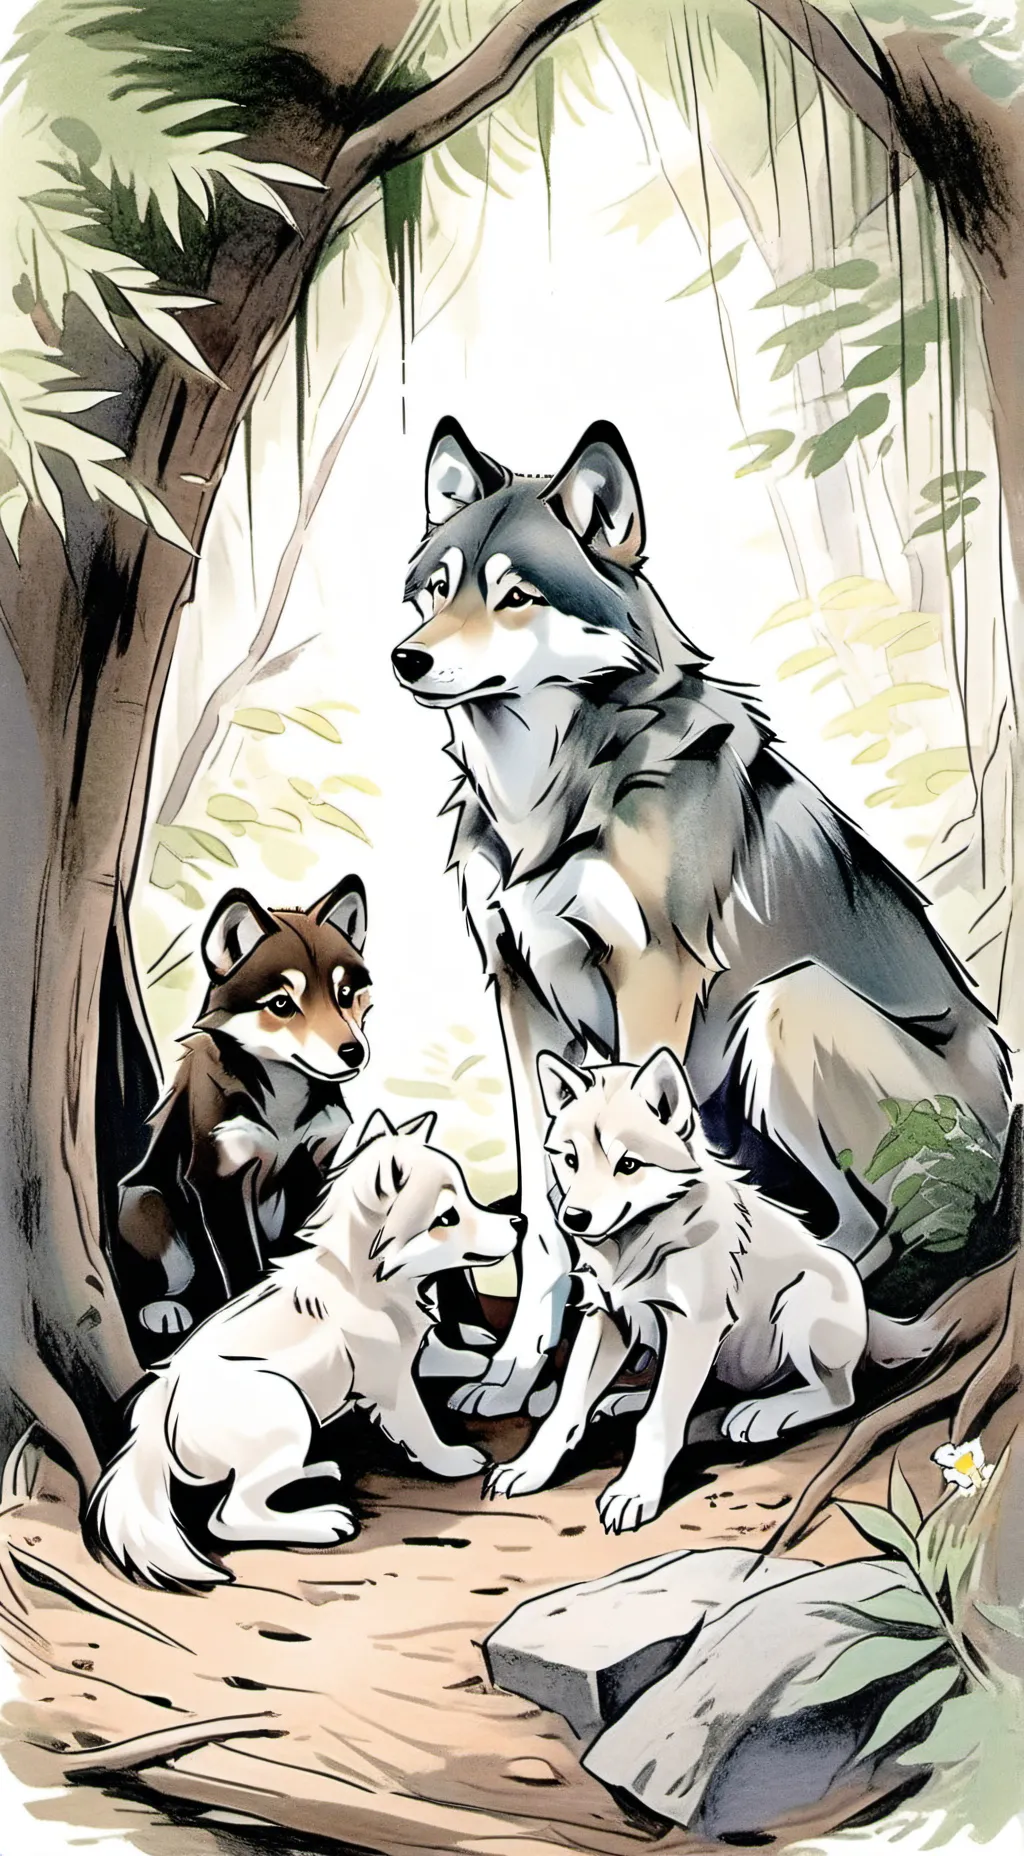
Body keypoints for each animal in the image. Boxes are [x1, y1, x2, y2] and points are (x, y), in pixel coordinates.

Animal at [90, 1112, 521, 1590]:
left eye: (470, 1196)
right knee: (228, 1515)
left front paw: (499, 1367)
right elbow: (422, 1429)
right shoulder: (391, 1384)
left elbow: (460, 1357)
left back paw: (316, 1470)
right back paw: (322, 1522)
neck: (370, 1282)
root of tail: (158, 1412)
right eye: (447, 1215)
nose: (519, 1221)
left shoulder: (412, 1354)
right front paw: (452, 1460)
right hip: (285, 1404)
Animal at [116, 877, 372, 1345]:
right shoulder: (218, 1179)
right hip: (146, 1201)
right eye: (282, 1004)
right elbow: (241, 1266)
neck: (283, 1101)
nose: (353, 1052)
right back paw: (165, 1308)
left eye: (344, 994)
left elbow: (295, 1243)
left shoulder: (312, 1164)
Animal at [393, 416, 1009, 1417]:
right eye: (438, 589)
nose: (406, 658)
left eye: (516, 597)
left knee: (872, 1226)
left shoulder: (655, 979)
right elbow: (545, 1213)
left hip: (787, 1005)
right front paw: (521, 1369)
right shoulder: (517, 991)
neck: (546, 795)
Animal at [486, 1049, 947, 1533]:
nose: (573, 1218)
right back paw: (627, 1400)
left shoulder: (694, 1328)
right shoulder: (606, 1318)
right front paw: (529, 1468)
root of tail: (869, 1319)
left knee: (840, 1394)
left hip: (804, 1294)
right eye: (570, 1160)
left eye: (628, 1164)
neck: (637, 1245)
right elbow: (566, 1408)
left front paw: (634, 1492)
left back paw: (764, 1413)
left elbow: (658, 1422)